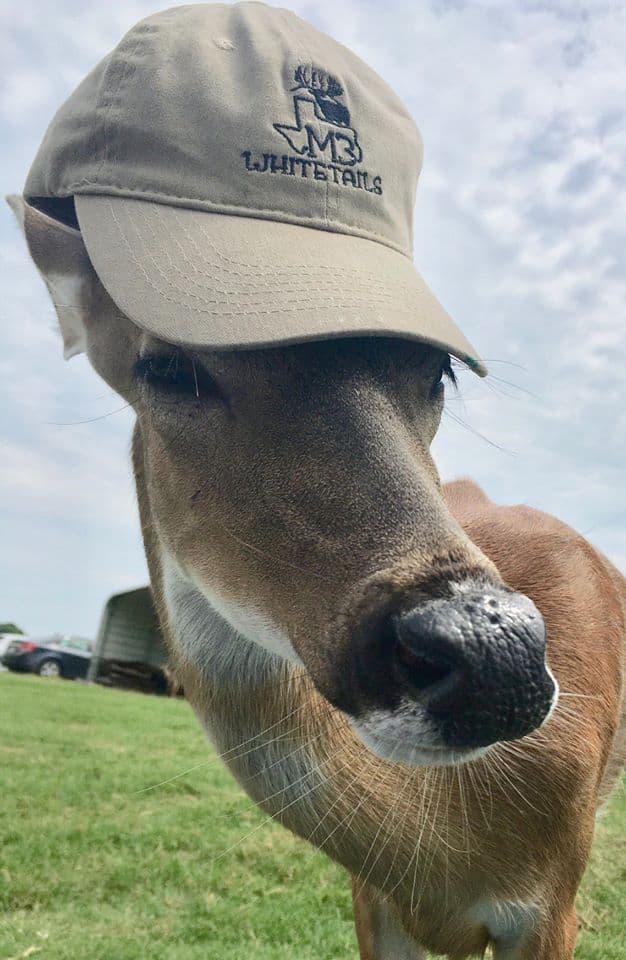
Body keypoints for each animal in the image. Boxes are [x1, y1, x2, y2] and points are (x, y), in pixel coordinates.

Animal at [9, 193, 625, 959]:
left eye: (439, 371)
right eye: (168, 368)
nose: (496, 655)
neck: (447, 847)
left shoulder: (555, 903)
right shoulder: (372, 899)